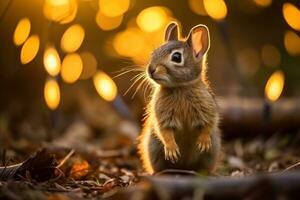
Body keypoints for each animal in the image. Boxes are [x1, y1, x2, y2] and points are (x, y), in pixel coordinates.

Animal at [137, 21, 221, 174]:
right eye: (153, 53)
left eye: (176, 57)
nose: (150, 70)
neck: (179, 87)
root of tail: (184, 168)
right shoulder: (163, 117)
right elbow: (165, 132)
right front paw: (172, 151)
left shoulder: (208, 110)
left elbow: (208, 125)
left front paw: (203, 143)